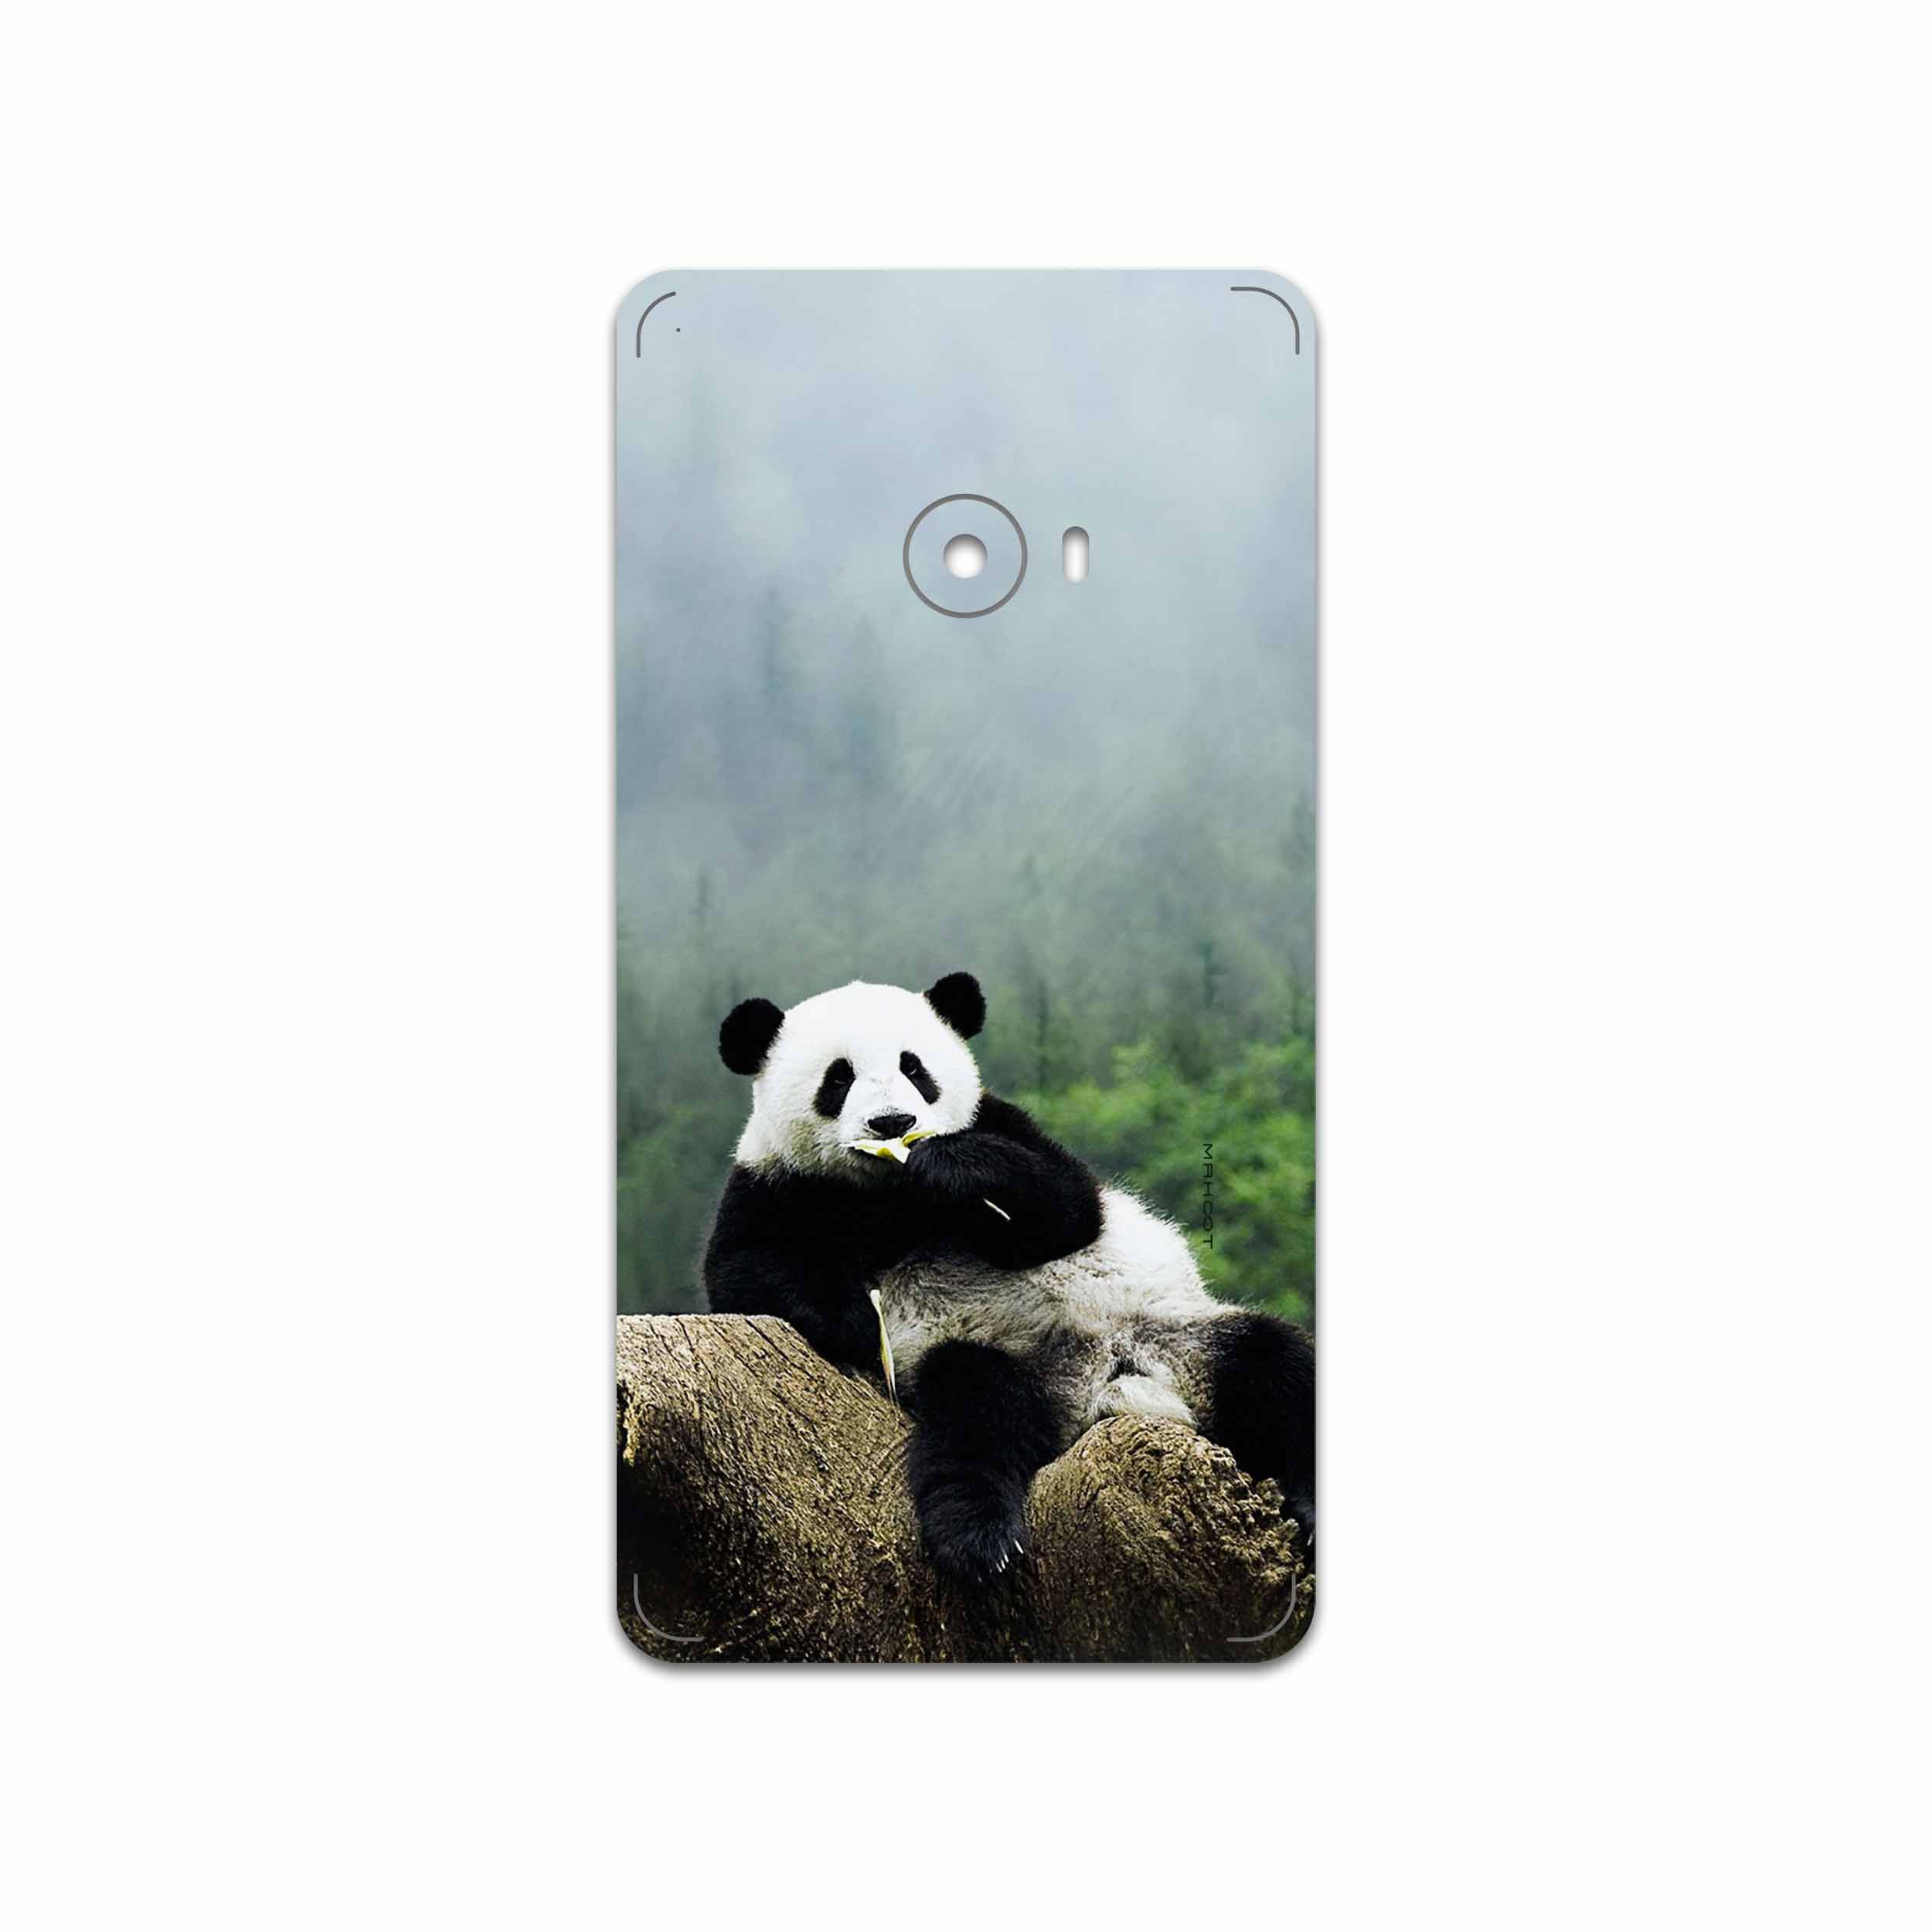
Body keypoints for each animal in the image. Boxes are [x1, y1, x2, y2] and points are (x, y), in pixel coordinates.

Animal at [704, 971, 1315, 1583]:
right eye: (839, 1078)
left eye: (914, 1068)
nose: (893, 1124)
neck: (889, 1194)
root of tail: (1106, 1385)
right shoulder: (775, 1183)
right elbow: (743, 1270)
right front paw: (856, 1319)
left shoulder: (1000, 1122)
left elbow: (1068, 1208)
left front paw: (952, 1168)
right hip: (998, 1357)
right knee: (974, 1418)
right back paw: (981, 1540)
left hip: (1179, 1334)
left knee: (1276, 1366)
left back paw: (1307, 1505)